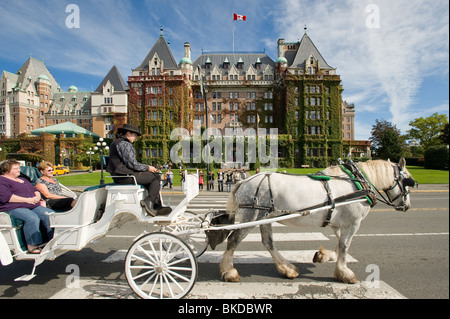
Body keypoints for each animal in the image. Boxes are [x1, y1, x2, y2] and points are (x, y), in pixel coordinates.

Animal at [221, 159, 414, 284]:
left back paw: (288, 269)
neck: (357, 183)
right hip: (251, 215)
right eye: (408, 181)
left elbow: (339, 245)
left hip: (265, 217)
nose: (407, 206)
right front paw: (345, 273)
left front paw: (324, 256)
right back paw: (229, 271)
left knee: (268, 243)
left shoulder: (338, 222)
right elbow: (345, 246)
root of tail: (244, 181)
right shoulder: (353, 223)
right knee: (233, 240)